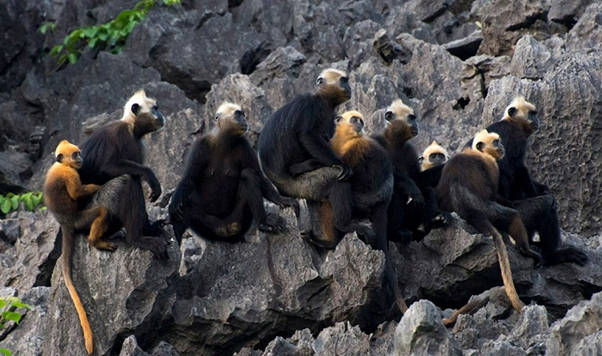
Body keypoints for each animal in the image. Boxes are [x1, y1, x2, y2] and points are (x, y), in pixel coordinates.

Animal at [43, 140, 115, 354]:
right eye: (75, 155)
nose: (81, 158)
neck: (62, 165)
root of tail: (66, 223)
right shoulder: (70, 174)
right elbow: (76, 192)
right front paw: (101, 184)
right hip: (80, 219)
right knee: (101, 212)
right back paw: (95, 242)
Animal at [78, 89, 166, 258]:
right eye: (155, 109)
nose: (161, 115)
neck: (131, 128)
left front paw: (150, 228)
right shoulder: (118, 132)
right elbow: (107, 167)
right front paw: (150, 175)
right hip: (93, 213)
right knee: (126, 181)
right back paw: (136, 239)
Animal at [166, 101, 298, 243]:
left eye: (243, 115)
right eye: (238, 115)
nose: (245, 120)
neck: (224, 142)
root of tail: (226, 229)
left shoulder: (244, 144)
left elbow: (257, 174)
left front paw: (281, 199)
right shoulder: (201, 144)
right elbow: (189, 179)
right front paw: (174, 202)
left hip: (239, 220)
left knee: (248, 175)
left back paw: (263, 222)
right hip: (209, 227)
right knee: (182, 208)